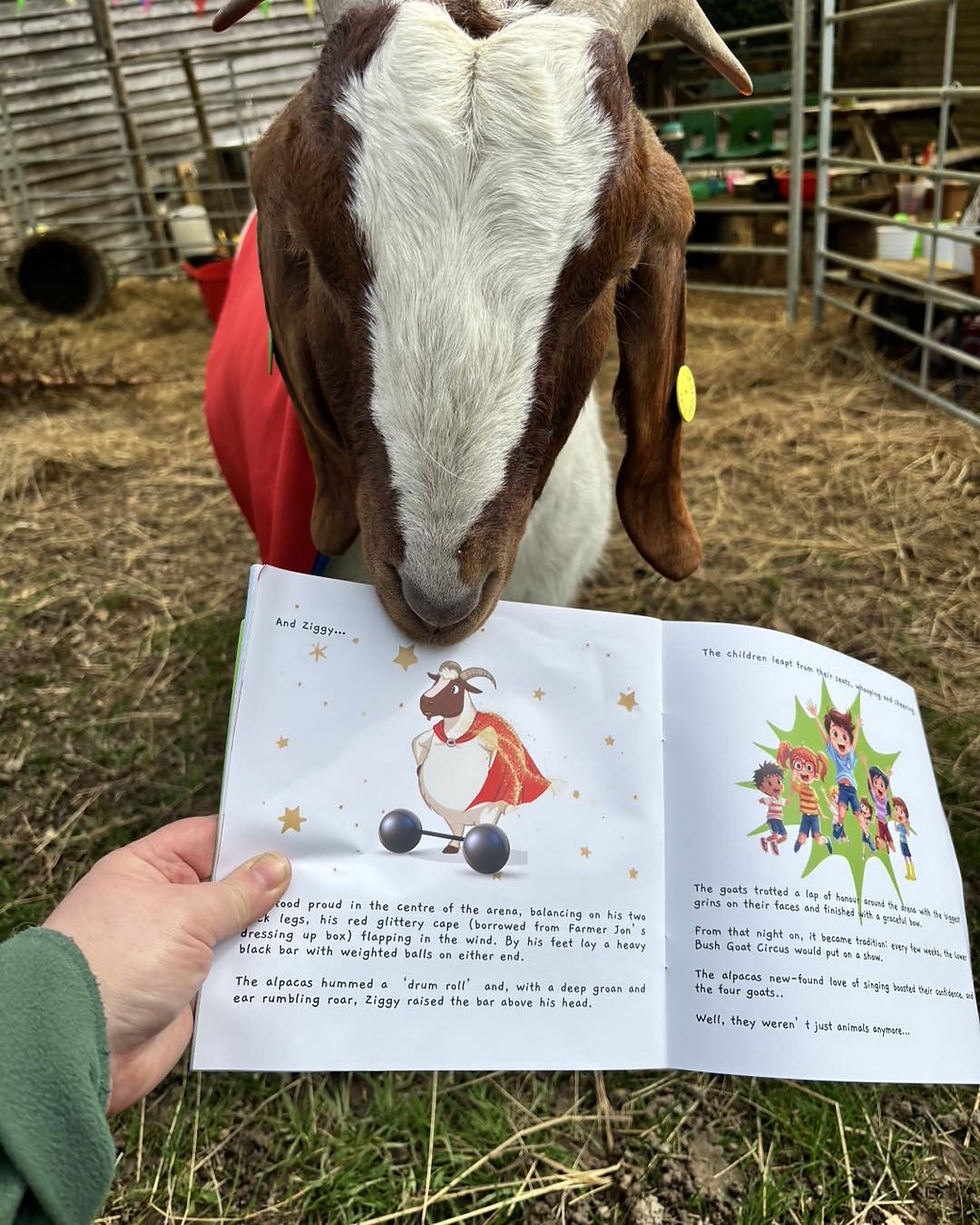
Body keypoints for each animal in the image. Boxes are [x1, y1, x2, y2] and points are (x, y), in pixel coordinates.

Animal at [412, 660, 551, 849]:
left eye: (454, 688)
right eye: (436, 682)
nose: (425, 701)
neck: (455, 738)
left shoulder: (489, 808)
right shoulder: (450, 814)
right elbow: (417, 742)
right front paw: (452, 847)